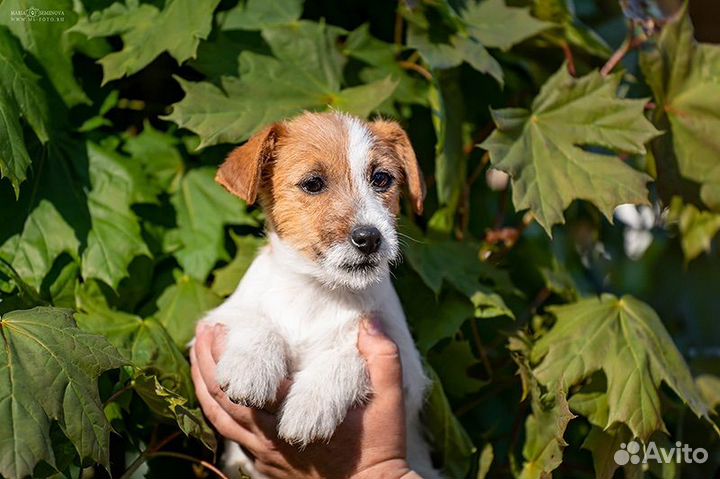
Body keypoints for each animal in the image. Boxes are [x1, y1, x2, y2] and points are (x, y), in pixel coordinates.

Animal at [201, 110, 438, 478]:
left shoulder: (409, 372)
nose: (370, 238)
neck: (319, 291)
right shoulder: (214, 321)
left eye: (381, 179)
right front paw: (251, 368)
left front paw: (310, 406)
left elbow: (349, 355)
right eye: (313, 183)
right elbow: (256, 322)